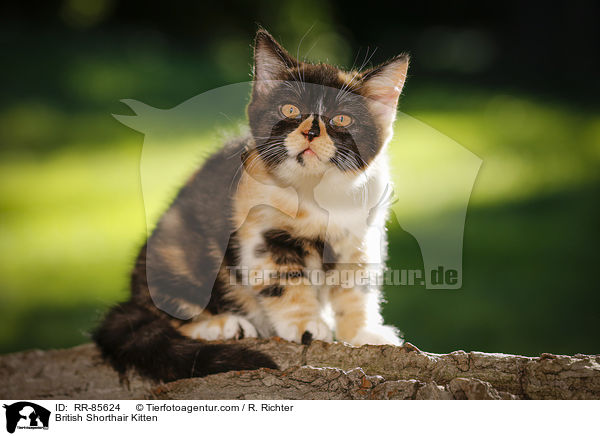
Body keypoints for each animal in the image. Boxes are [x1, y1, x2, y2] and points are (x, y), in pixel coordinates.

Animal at [94, 29, 410, 382]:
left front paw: (362, 332)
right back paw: (221, 325)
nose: (311, 132)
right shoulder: (263, 234)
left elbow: (355, 288)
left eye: (342, 118)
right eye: (289, 110)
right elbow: (284, 280)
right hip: (177, 253)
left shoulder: (360, 237)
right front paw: (305, 325)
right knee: (165, 313)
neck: (316, 193)